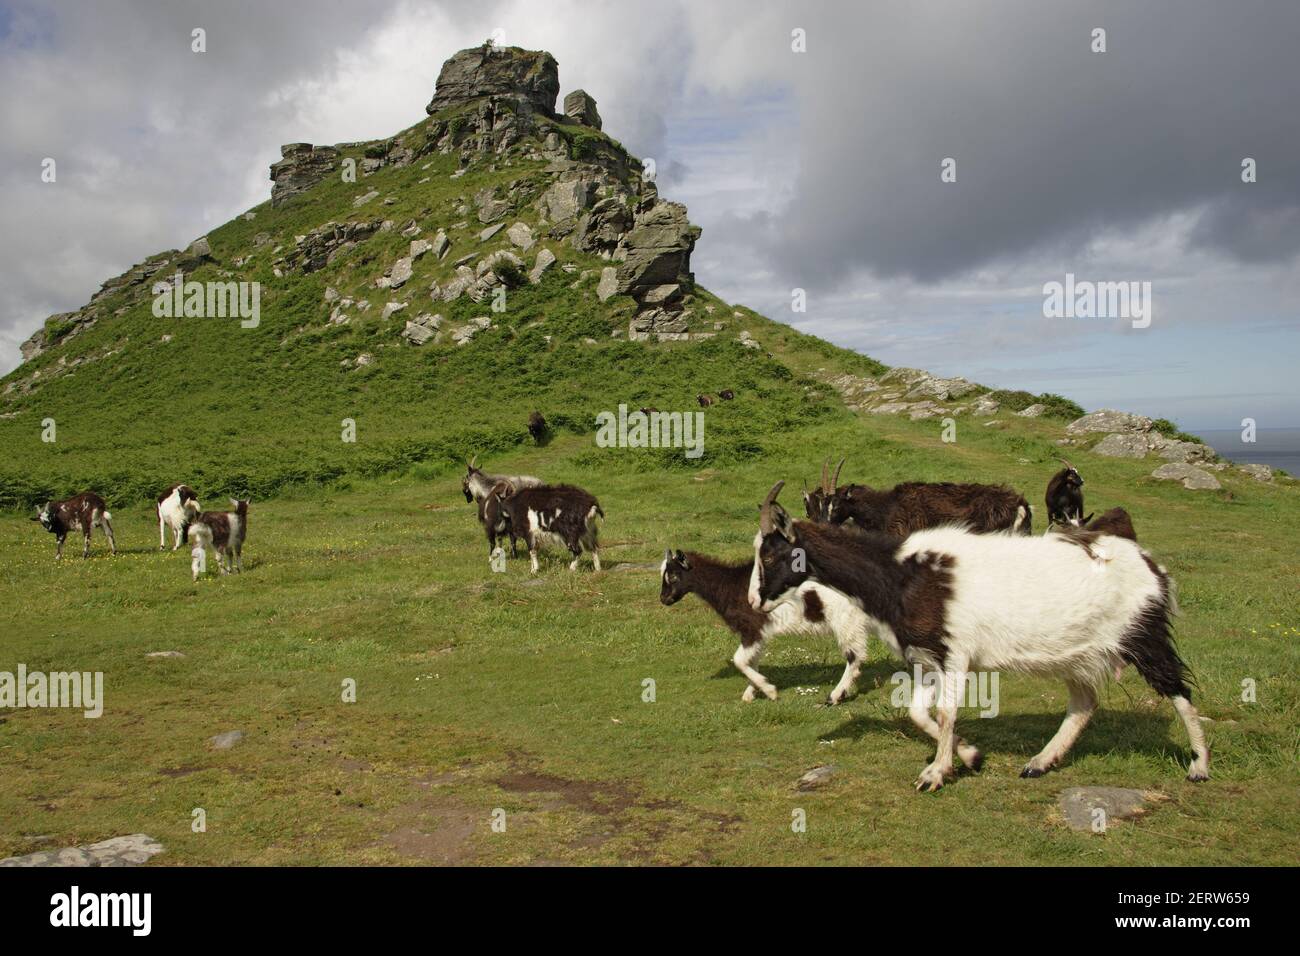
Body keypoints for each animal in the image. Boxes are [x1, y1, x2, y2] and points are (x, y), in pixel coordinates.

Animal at [661, 549, 870, 704]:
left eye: (673, 576)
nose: (663, 599)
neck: (730, 585)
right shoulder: (759, 633)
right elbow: (752, 661)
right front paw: (751, 693)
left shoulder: (751, 627)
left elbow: (739, 660)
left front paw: (769, 690)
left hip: (846, 620)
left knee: (854, 657)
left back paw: (834, 697)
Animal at [750, 481, 1209, 791]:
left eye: (769, 553)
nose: (755, 600)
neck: (901, 572)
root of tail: (1150, 565)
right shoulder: (926, 657)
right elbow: (919, 713)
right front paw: (969, 756)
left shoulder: (955, 655)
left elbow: (945, 713)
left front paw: (935, 773)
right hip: (1076, 653)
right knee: (1084, 704)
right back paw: (1040, 762)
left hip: (1143, 635)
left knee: (1179, 691)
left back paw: (1199, 766)